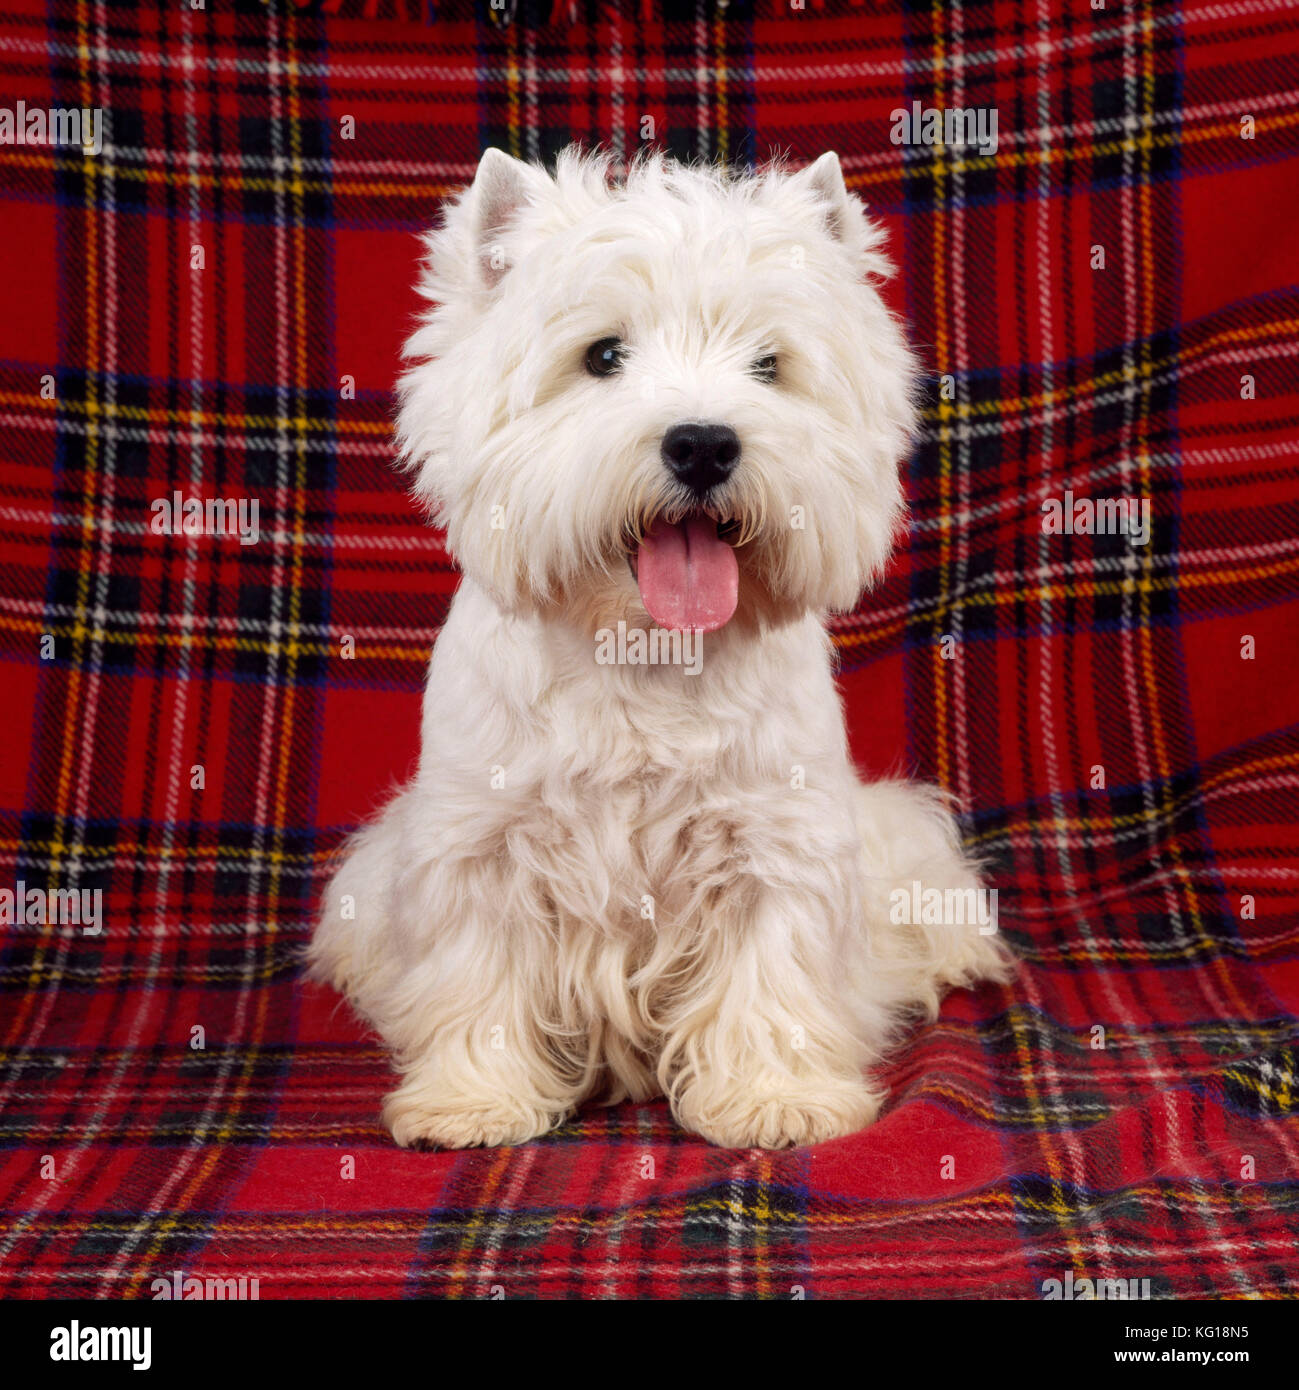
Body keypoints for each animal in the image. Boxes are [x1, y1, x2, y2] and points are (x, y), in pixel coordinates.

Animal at [312, 149, 1016, 1150]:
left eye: (768, 365)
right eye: (602, 356)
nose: (703, 443)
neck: (641, 650)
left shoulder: (775, 842)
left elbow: (769, 973)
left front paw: (773, 1097)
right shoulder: (479, 842)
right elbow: (479, 976)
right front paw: (471, 1101)